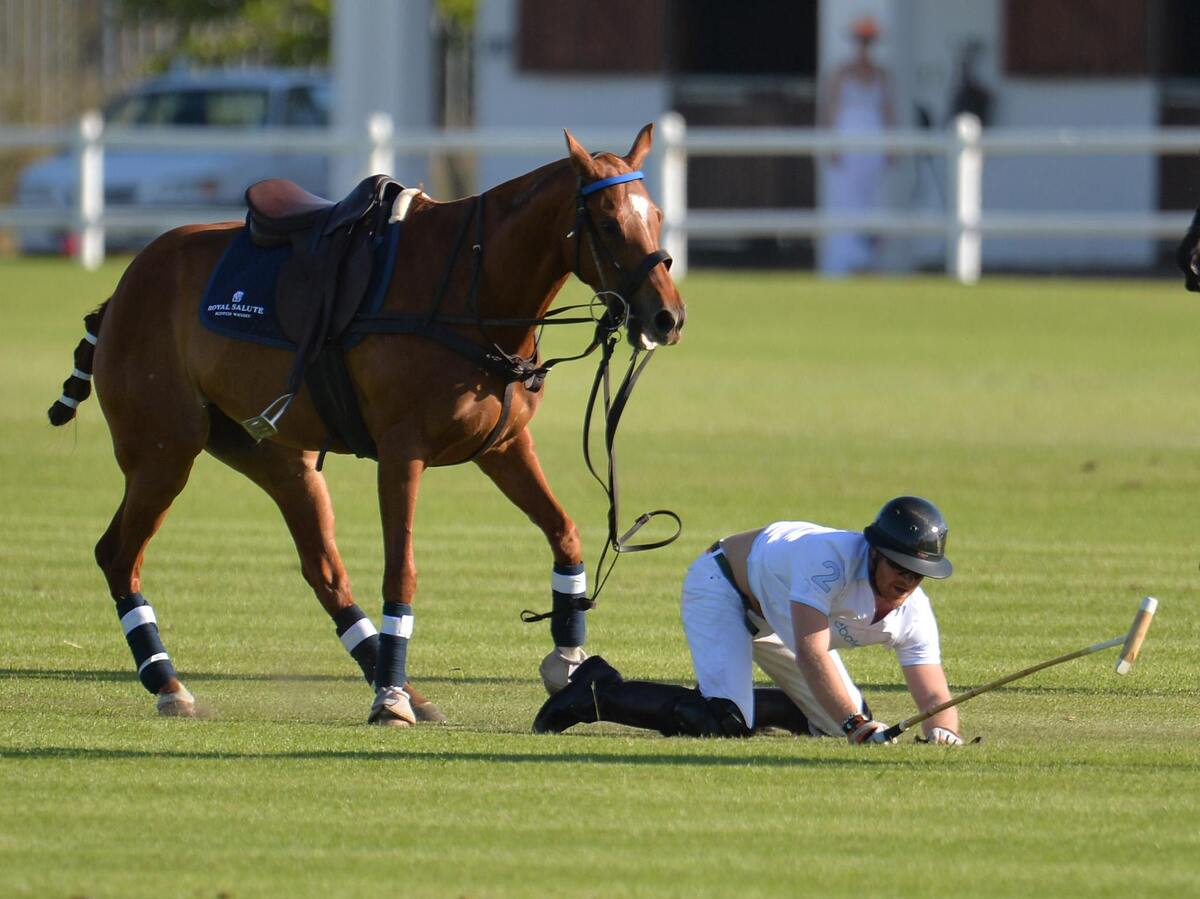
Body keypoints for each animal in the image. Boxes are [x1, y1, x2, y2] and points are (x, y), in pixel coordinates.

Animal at [46, 124, 686, 720]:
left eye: (656, 216)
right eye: (608, 224)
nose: (668, 317)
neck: (472, 286)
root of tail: (123, 287)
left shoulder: (502, 445)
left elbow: (566, 533)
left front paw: (569, 658)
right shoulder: (403, 453)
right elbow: (401, 573)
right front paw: (389, 701)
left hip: (278, 458)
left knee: (323, 569)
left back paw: (399, 683)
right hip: (164, 450)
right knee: (118, 553)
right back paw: (169, 682)